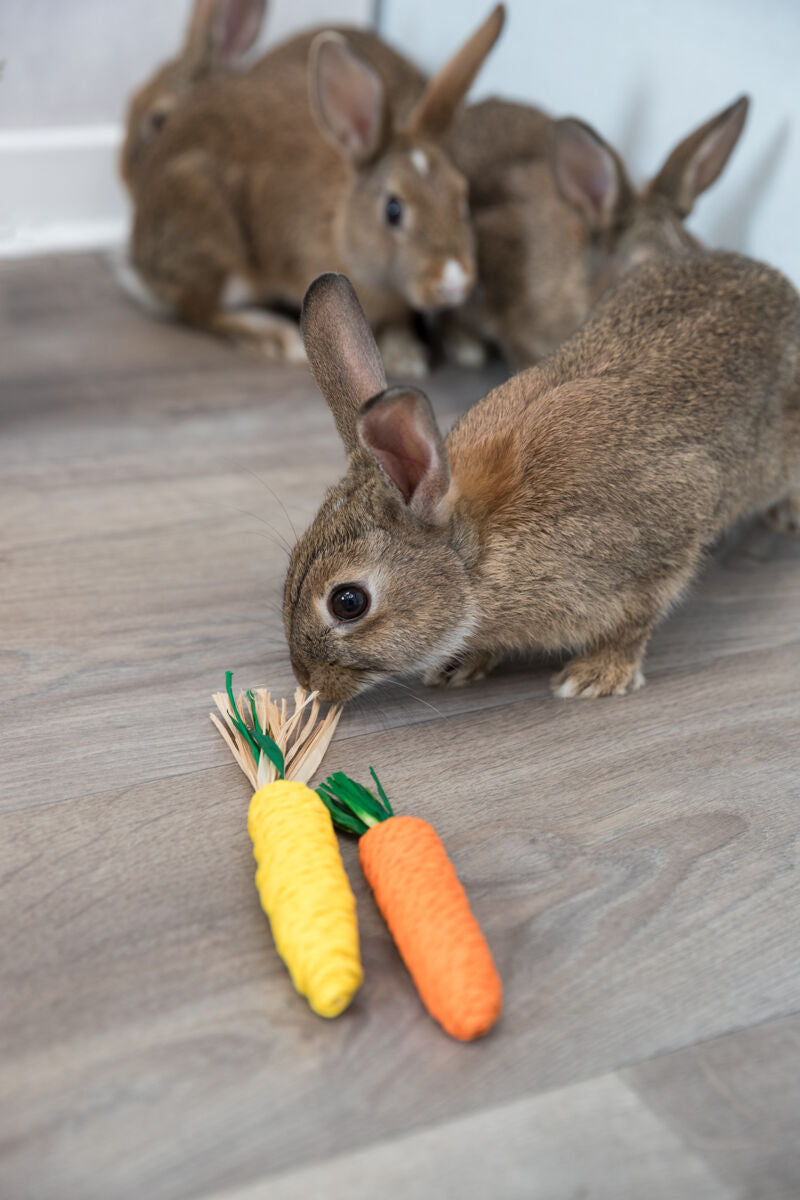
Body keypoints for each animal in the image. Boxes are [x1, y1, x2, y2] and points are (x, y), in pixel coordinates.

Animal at [121, 2, 506, 375]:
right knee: (199, 310)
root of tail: (140, 258)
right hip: (213, 240)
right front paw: (400, 357)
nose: (454, 280)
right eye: (393, 210)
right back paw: (276, 336)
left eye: (462, 196)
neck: (343, 222)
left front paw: (409, 354)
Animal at [283, 262, 800, 704]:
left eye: (348, 602)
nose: (309, 683)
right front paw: (458, 665)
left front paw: (594, 677)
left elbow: (635, 623)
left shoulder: (660, 544)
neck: (480, 558)